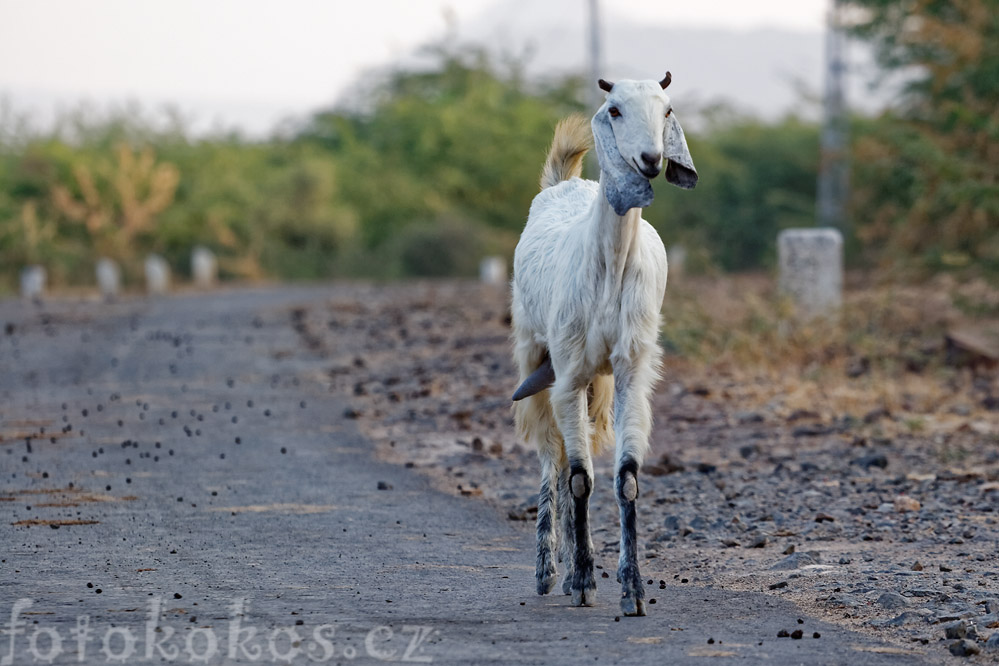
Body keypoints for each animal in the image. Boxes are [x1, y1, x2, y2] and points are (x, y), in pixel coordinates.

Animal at [508, 70, 696, 616]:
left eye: (667, 108)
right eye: (614, 109)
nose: (651, 159)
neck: (609, 265)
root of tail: (562, 184)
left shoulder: (631, 369)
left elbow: (626, 478)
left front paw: (632, 589)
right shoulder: (567, 371)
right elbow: (578, 478)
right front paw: (585, 581)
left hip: (598, 380)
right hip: (534, 353)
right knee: (552, 456)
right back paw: (551, 570)